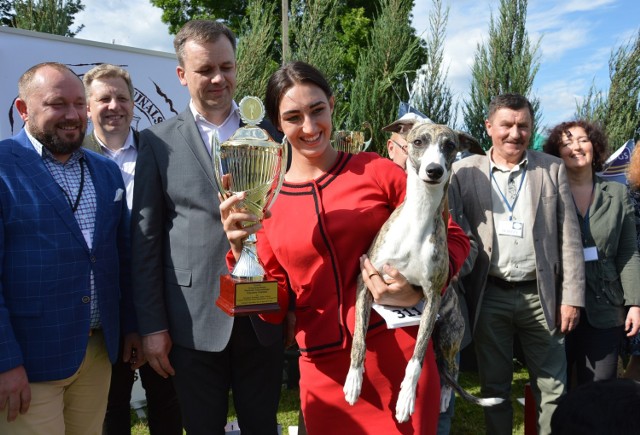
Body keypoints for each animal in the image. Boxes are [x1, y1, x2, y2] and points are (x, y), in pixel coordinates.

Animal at [342, 118, 502, 422]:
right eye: (418, 142)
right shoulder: (365, 281)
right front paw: (354, 381)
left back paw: (444, 397)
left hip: (450, 337)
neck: (418, 219)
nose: (434, 171)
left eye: (450, 146)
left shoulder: (431, 297)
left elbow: (416, 358)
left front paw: (406, 398)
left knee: (450, 369)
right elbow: (359, 337)